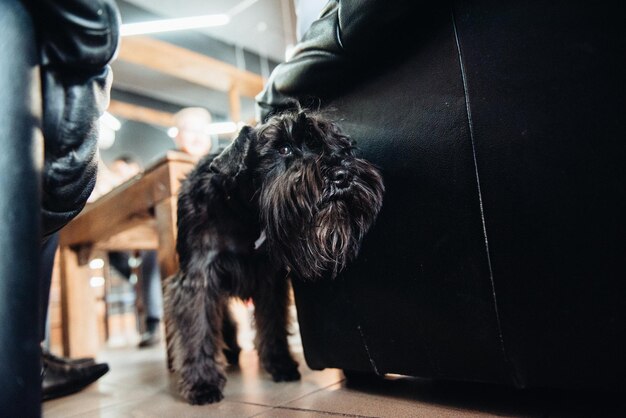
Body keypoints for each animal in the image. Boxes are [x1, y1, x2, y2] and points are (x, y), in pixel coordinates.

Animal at [163, 110, 382, 404]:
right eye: (283, 148)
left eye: (337, 144)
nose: (342, 174)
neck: (243, 214)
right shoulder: (198, 279)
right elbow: (197, 328)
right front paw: (202, 383)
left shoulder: (269, 280)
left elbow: (273, 322)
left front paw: (280, 363)